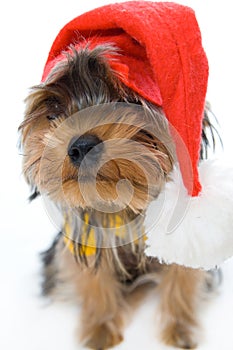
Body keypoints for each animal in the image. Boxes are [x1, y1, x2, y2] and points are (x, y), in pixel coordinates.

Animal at [19, 3, 226, 350]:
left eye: (128, 102)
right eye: (56, 109)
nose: (80, 145)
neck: (119, 202)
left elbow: (181, 279)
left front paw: (180, 331)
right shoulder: (84, 239)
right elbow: (94, 281)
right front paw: (100, 330)